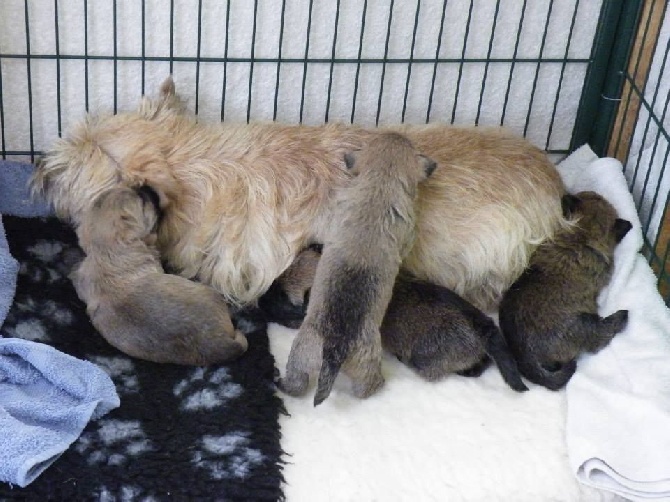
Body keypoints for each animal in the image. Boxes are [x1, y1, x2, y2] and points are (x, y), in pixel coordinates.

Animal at [276, 132, 436, 404]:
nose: (398, 133)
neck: (380, 182)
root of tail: (334, 351)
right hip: (366, 359)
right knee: (364, 388)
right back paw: (379, 386)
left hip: (302, 353)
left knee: (299, 381)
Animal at [498, 190, 636, 390]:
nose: (565, 194)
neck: (582, 233)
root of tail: (526, 358)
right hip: (584, 323)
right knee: (599, 336)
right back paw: (620, 317)